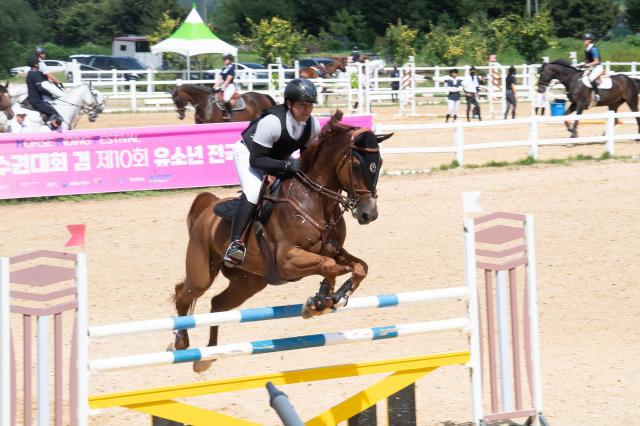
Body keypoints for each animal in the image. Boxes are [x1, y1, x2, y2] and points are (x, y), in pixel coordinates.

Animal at [168, 110, 392, 372]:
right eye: (356, 165)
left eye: (380, 163)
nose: (369, 214)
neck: (315, 200)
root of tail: (206, 208)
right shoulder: (287, 260)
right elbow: (329, 266)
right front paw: (320, 302)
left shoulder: (335, 250)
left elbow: (359, 267)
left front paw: (333, 297)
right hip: (203, 272)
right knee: (184, 293)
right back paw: (181, 342)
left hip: (248, 283)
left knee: (217, 304)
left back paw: (208, 355)